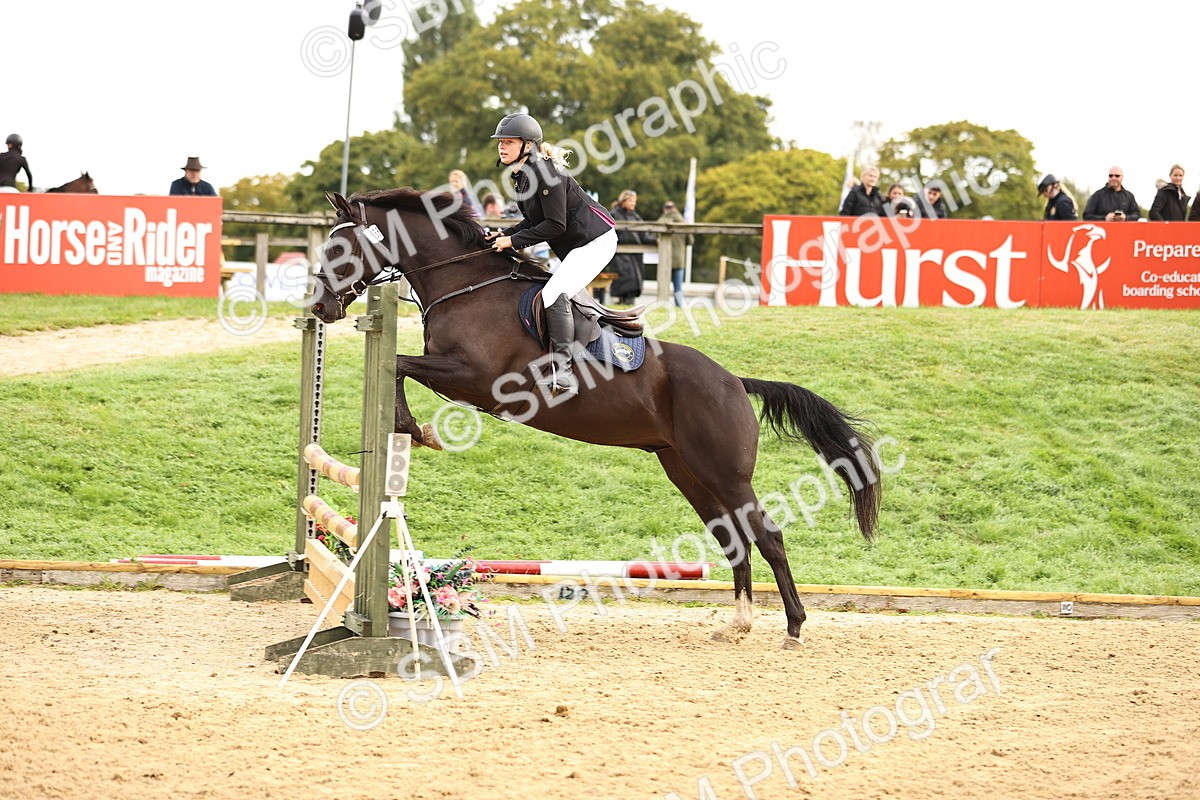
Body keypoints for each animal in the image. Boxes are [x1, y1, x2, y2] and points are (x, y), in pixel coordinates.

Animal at [310, 188, 881, 647]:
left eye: (340, 248)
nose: (319, 308)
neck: (465, 284)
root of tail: (735, 382)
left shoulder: (475, 378)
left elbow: (401, 364)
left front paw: (414, 429)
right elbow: (401, 366)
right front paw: (412, 429)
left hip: (725, 472)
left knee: (768, 536)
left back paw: (793, 627)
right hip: (686, 470)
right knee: (733, 537)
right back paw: (738, 624)